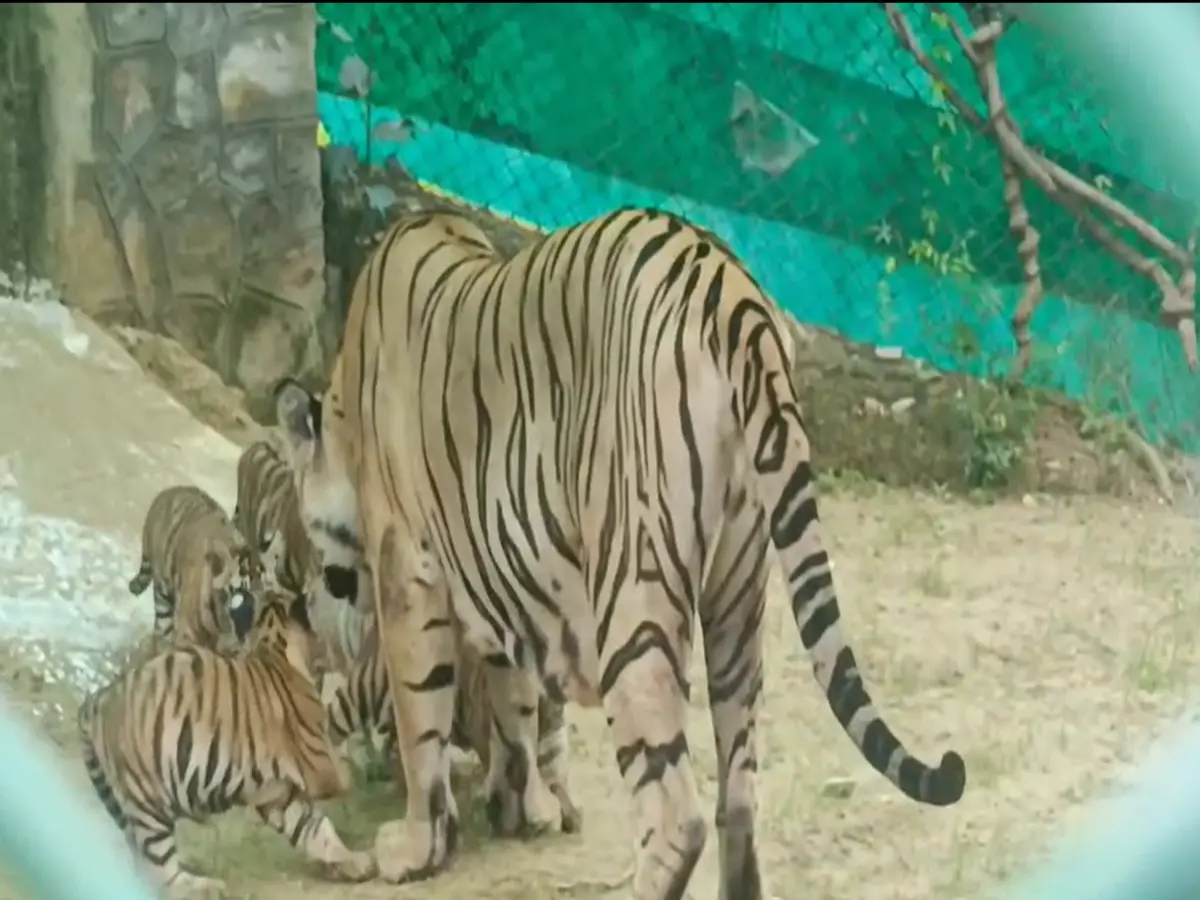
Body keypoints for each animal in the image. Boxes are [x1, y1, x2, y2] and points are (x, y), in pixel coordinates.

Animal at [77, 585, 376, 897]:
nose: (330, 652)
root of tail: (98, 698)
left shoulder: (276, 793)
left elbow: (313, 827)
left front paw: (350, 860)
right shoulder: (319, 766)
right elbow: (336, 785)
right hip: (147, 801)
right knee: (160, 865)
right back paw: (200, 887)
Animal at [128, 484, 278, 651]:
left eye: (267, 600)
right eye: (241, 599)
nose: (246, 643)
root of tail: (171, 490)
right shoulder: (188, 633)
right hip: (163, 594)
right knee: (163, 628)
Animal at [272, 207, 967, 896]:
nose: (316, 608)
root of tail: (728, 287)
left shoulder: (407, 569)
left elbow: (422, 716)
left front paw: (417, 847)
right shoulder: (498, 578)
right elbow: (514, 703)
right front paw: (519, 808)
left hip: (634, 596)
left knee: (675, 814)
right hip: (739, 595)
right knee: (738, 794)